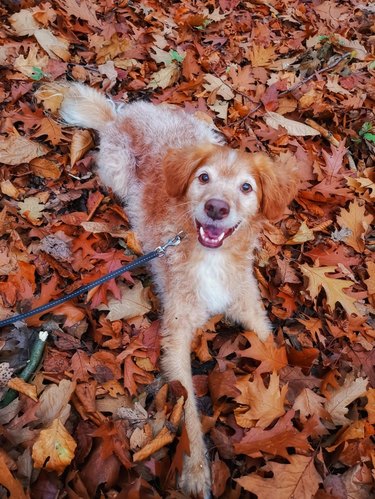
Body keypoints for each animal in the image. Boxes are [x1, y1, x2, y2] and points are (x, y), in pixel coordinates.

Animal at [59, 84, 300, 498]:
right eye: (203, 178)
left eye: (247, 187)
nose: (216, 207)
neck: (211, 258)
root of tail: (120, 116)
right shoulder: (176, 332)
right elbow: (187, 411)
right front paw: (197, 471)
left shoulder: (251, 308)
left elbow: (271, 349)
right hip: (117, 171)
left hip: (204, 130)